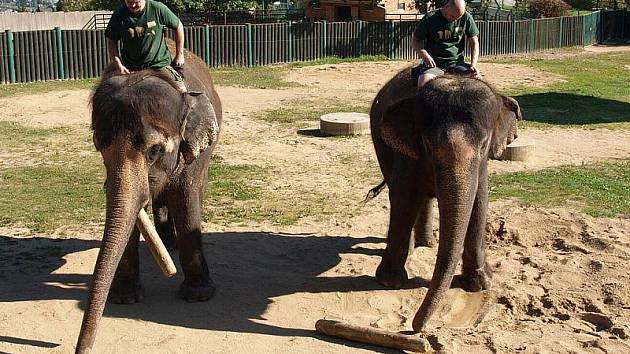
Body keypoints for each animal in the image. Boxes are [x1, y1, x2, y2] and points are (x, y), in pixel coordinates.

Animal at [76, 50, 222, 354]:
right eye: (99, 147)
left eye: (154, 150)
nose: (81, 349)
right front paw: (125, 298)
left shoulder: (191, 153)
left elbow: (186, 199)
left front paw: (198, 296)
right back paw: (167, 243)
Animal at [368, 68, 520, 334]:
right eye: (428, 144)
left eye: (484, 145)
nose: (415, 328)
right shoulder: (408, 156)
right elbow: (404, 199)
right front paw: (389, 281)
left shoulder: (482, 166)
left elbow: (480, 201)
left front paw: (480, 283)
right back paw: (415, 248)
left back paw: (427, 244)